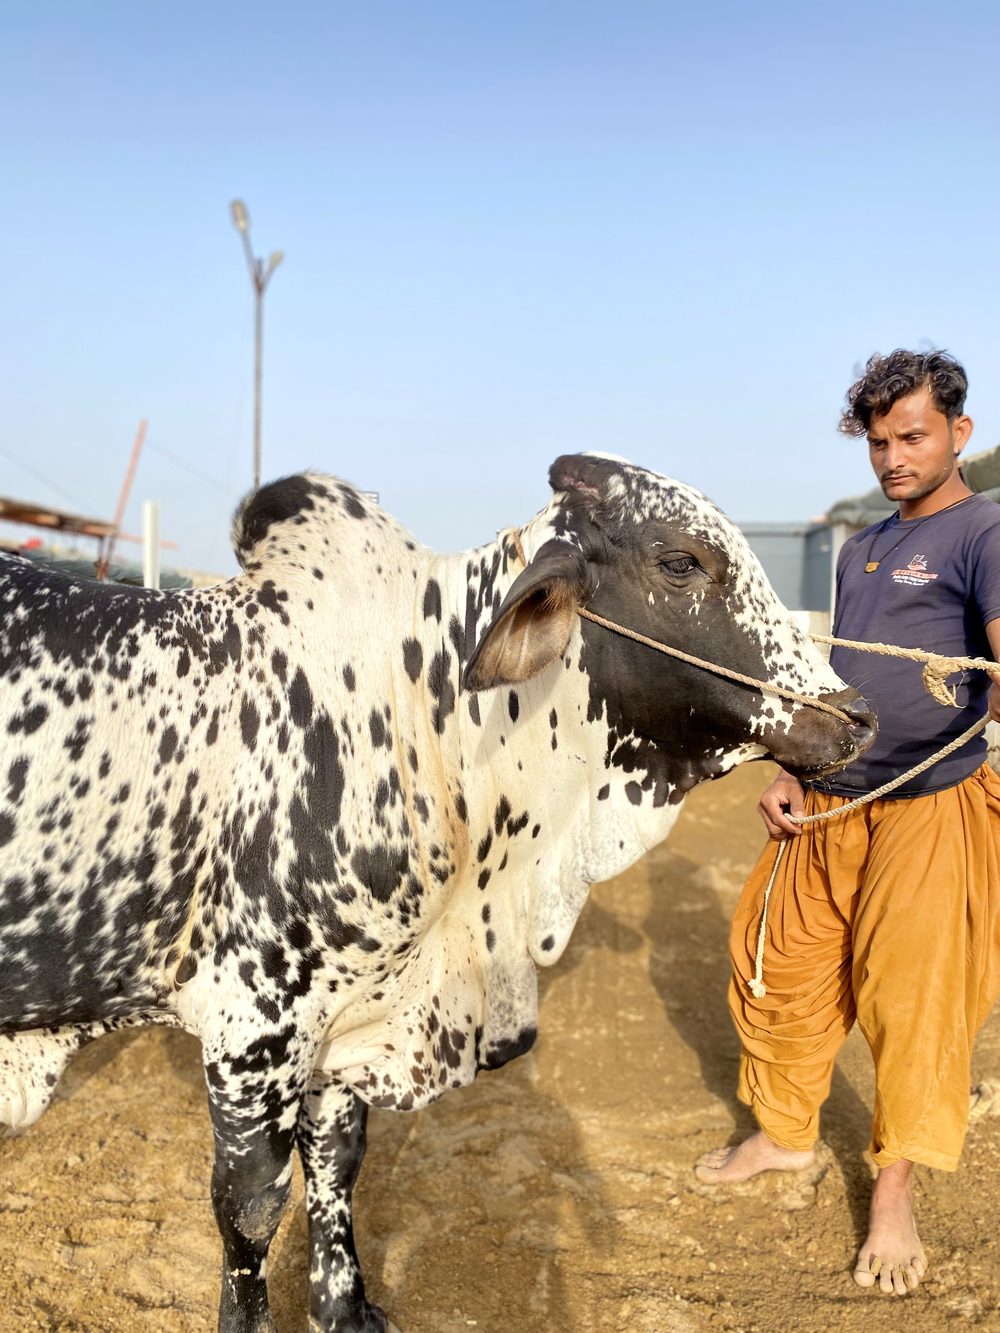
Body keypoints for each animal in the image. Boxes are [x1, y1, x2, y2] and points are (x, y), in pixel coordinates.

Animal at [0, 453, 873, 1331]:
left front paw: (347, 1309)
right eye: (681, 561)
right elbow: (249, 1208)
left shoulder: (347, 1019)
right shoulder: (254, 1030)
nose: (858, 713)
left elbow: (338, 1164)